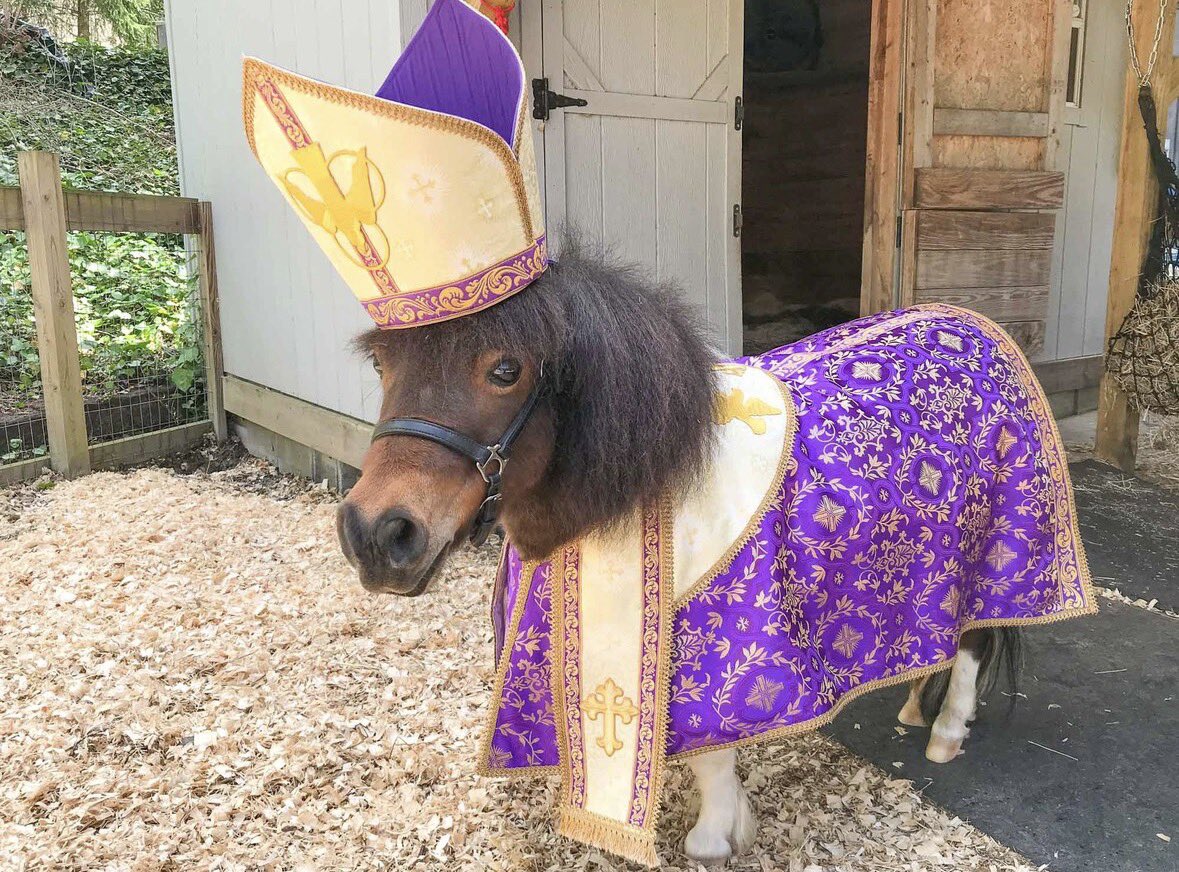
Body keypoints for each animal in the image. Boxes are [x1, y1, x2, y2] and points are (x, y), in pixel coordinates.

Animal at [333, 240, 1044, 862]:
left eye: (506, 369)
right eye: (382, 365)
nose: (376, 533)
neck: (646, 479)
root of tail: (978, 324)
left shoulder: (715, 648)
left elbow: (712, 751)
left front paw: (715, 836)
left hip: (997, 553)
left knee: (975, 642)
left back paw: (947, 732)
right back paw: (914, 705)